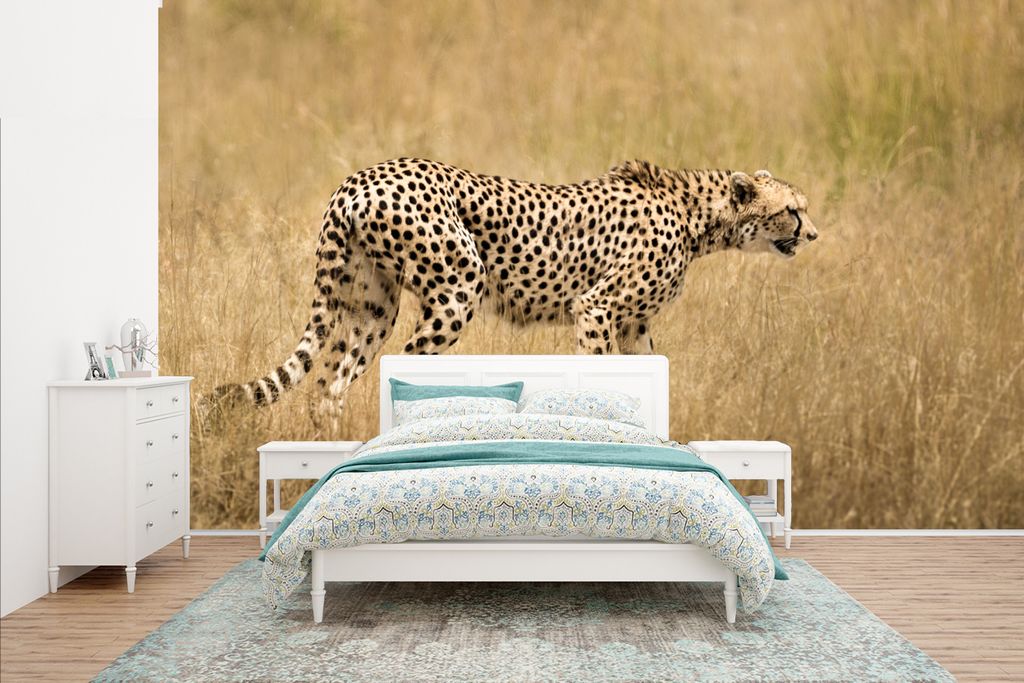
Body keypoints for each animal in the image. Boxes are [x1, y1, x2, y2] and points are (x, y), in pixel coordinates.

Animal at [208, 157, 818, 416]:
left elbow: (644, 375)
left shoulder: (636, 323)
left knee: (329, 385)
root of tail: (361, 176)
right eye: (792, 210)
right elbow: (596, 371)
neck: (698, 218)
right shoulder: (596, 306)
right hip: (459, 285)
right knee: (408, 367)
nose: (814, 234)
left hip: (370, 307)